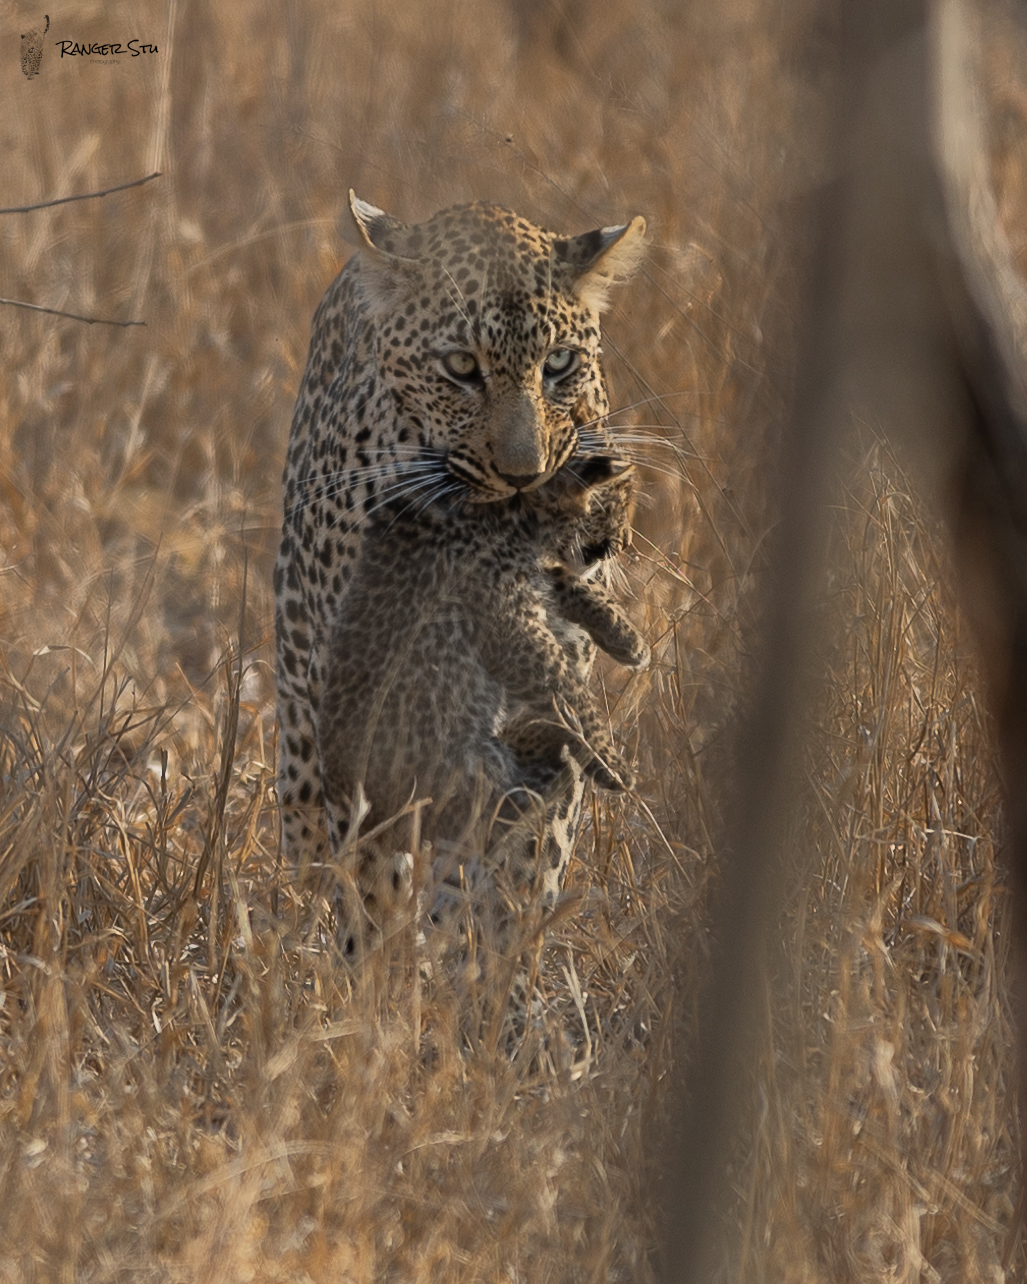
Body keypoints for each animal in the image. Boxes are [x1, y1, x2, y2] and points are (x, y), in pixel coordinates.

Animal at [275, 191, 646, 950]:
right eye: (459, 367)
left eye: (559, 363)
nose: (523, 474)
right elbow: (375, 885)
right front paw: (380, 974)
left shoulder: (543, 709)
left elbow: (515, 876)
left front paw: (483, 970)